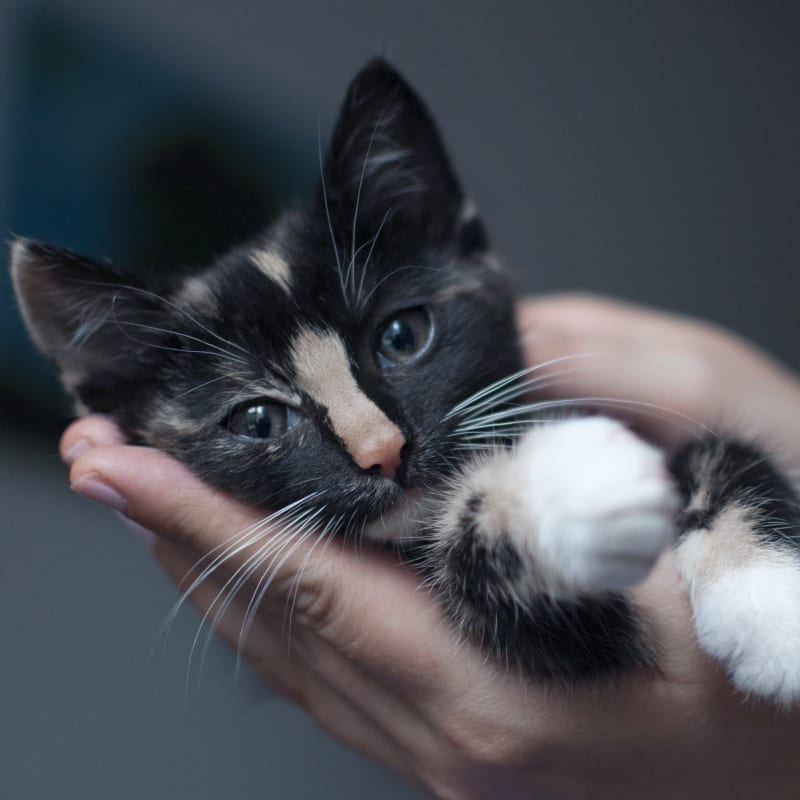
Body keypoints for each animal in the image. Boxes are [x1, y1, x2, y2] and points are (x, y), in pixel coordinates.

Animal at [10, 59, 800, 704]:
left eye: (400, 336)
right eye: (258, 420)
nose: (383, 451)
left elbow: (722, 451)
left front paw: (767, 602)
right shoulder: (566, 640)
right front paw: (566, 489)